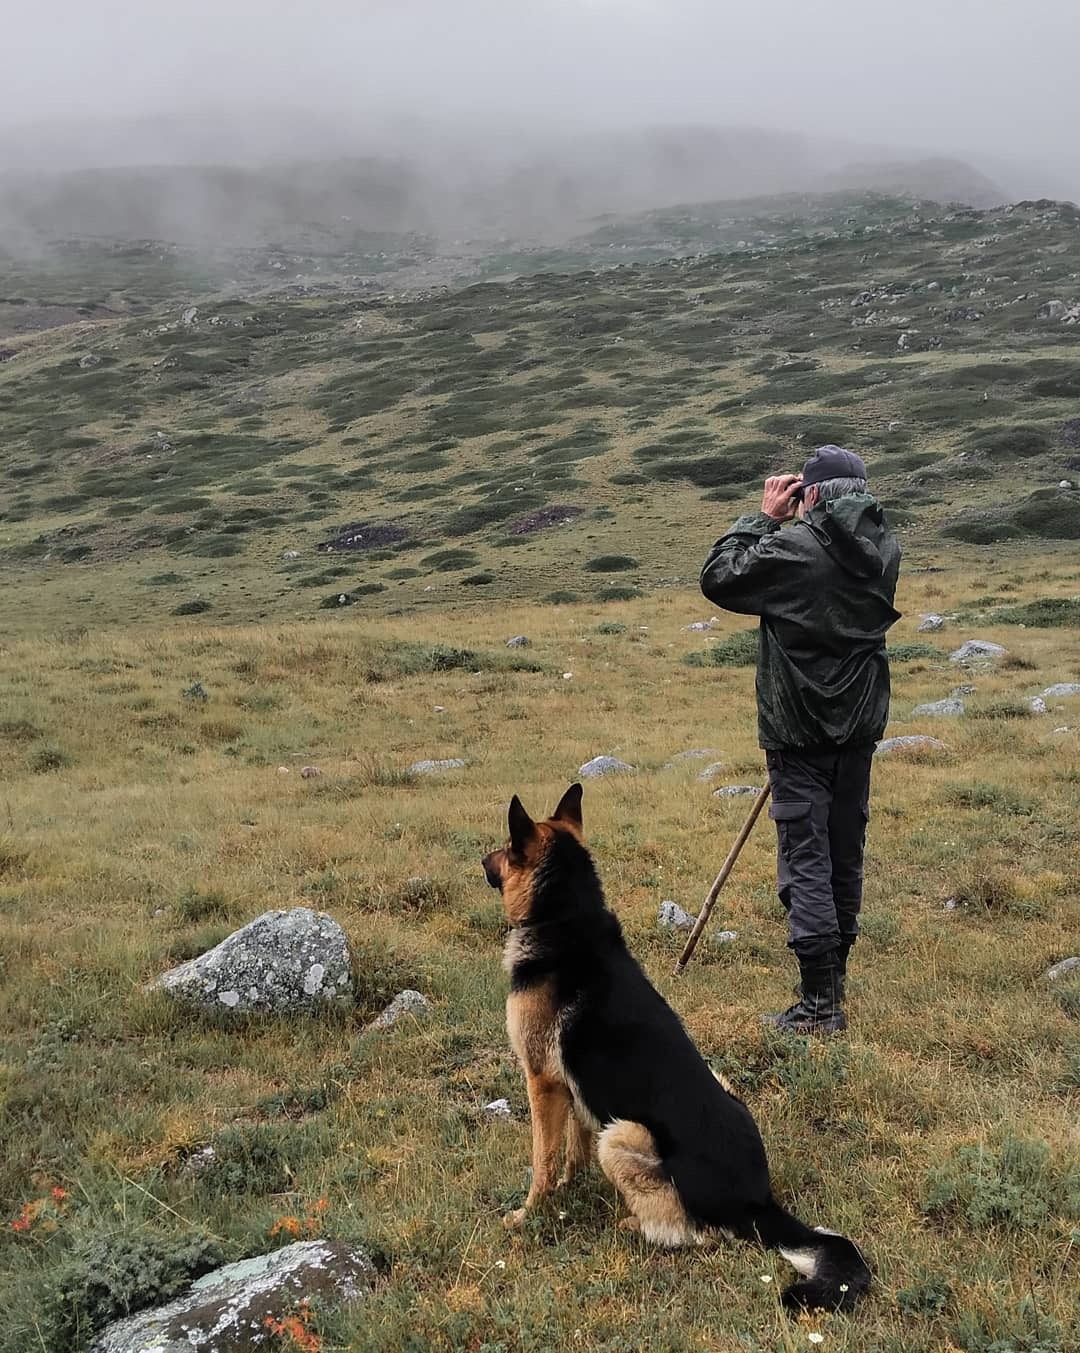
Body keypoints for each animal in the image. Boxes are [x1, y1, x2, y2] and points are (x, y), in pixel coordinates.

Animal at [481, 784, 871, 1309]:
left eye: (506, 848)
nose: (481, 860)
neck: (564, 915)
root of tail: (759, 1201)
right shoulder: (571, 1088)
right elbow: (572, 1151)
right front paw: (569, 1189)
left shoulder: (541, 1082)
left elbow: (542, 1161)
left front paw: (530, 1213)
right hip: (709, 1093)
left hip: (621, 1136)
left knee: (697, 1233)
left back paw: (635, 1223)